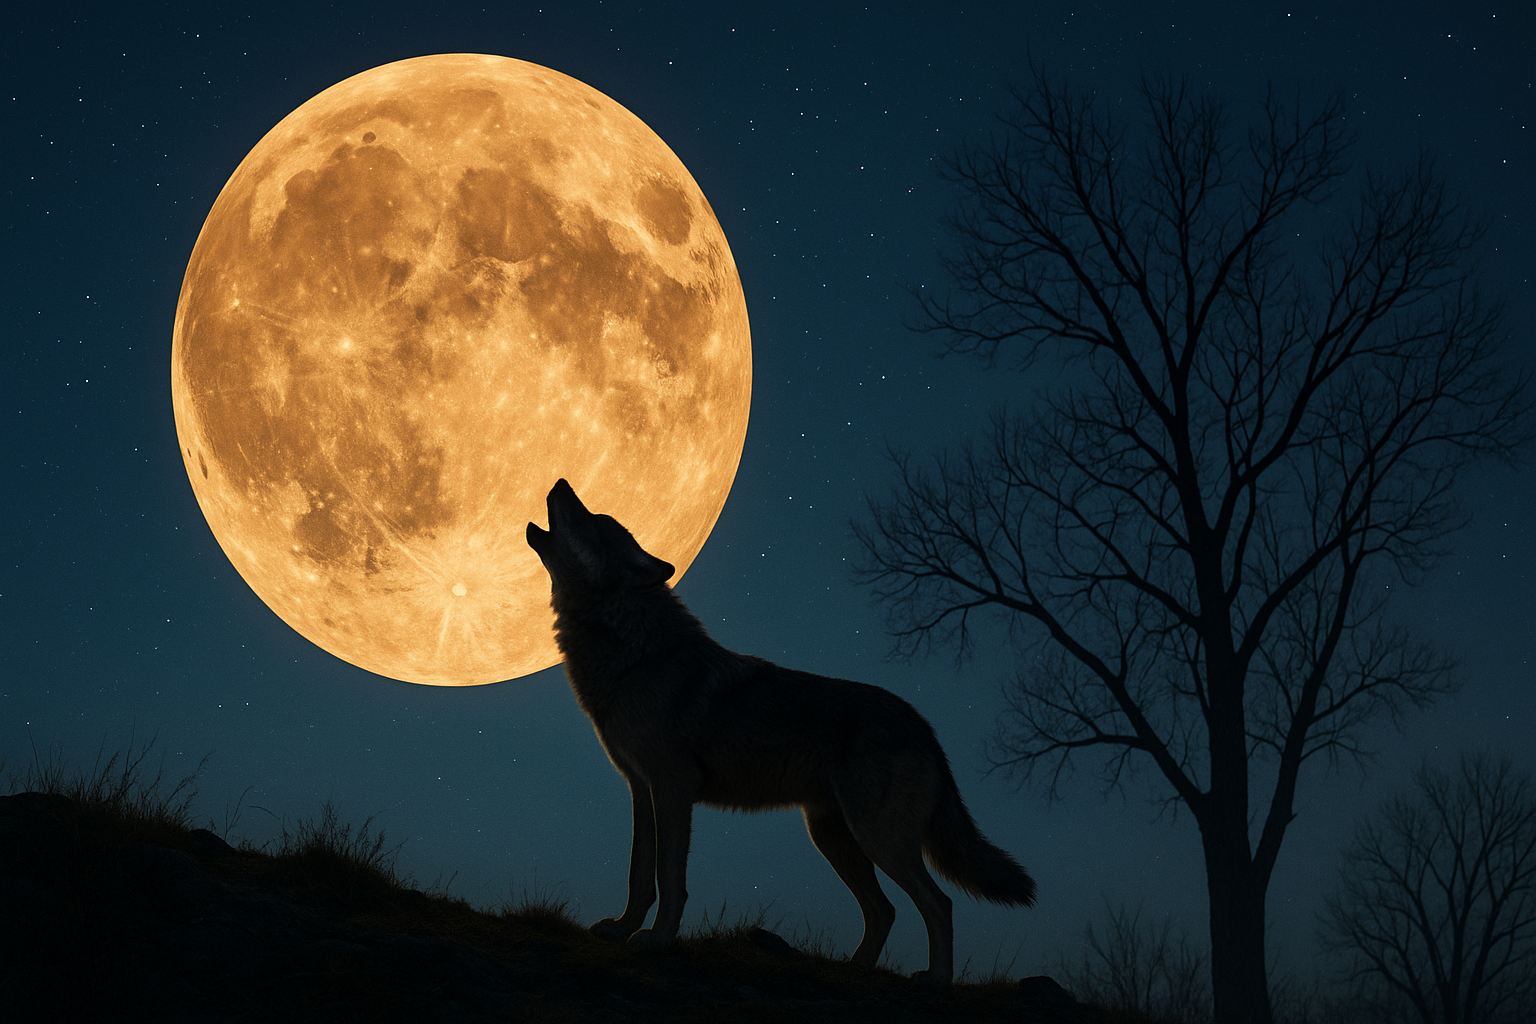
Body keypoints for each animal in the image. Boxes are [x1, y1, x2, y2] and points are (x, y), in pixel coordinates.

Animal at [525, 479, 1036, 983]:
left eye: (594, 520)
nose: (560, 481)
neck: (634, 651)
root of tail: (925, 726)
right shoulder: (640, 788)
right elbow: (638, 874)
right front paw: (623, 928)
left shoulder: (672, 788)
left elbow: (669, 879)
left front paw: (658, 940)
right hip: (833, 838)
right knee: (885, 910)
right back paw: (855, 969)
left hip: (877, 838)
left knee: (939, 903)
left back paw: (936, 980)